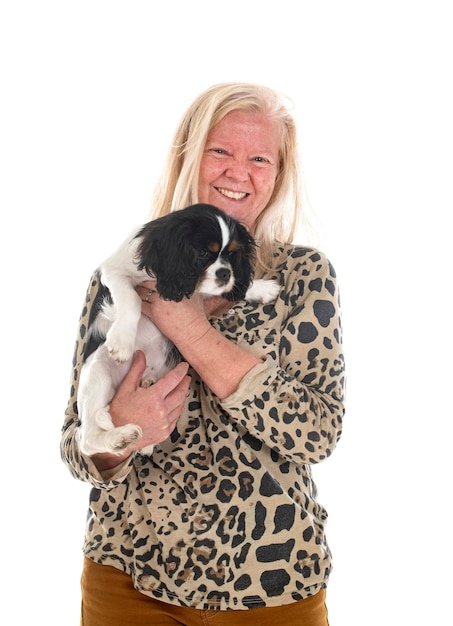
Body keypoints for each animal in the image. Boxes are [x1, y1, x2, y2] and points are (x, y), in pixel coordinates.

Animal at [77, 202, 278, 456]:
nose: (225, 273)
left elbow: (235, 287)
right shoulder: (114, 270)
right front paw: (122, 342)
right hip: (98, 372)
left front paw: (263, 288)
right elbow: (132, 300)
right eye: (203, 253)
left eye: (232, 254)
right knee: (86, 440)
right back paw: (119, 438)